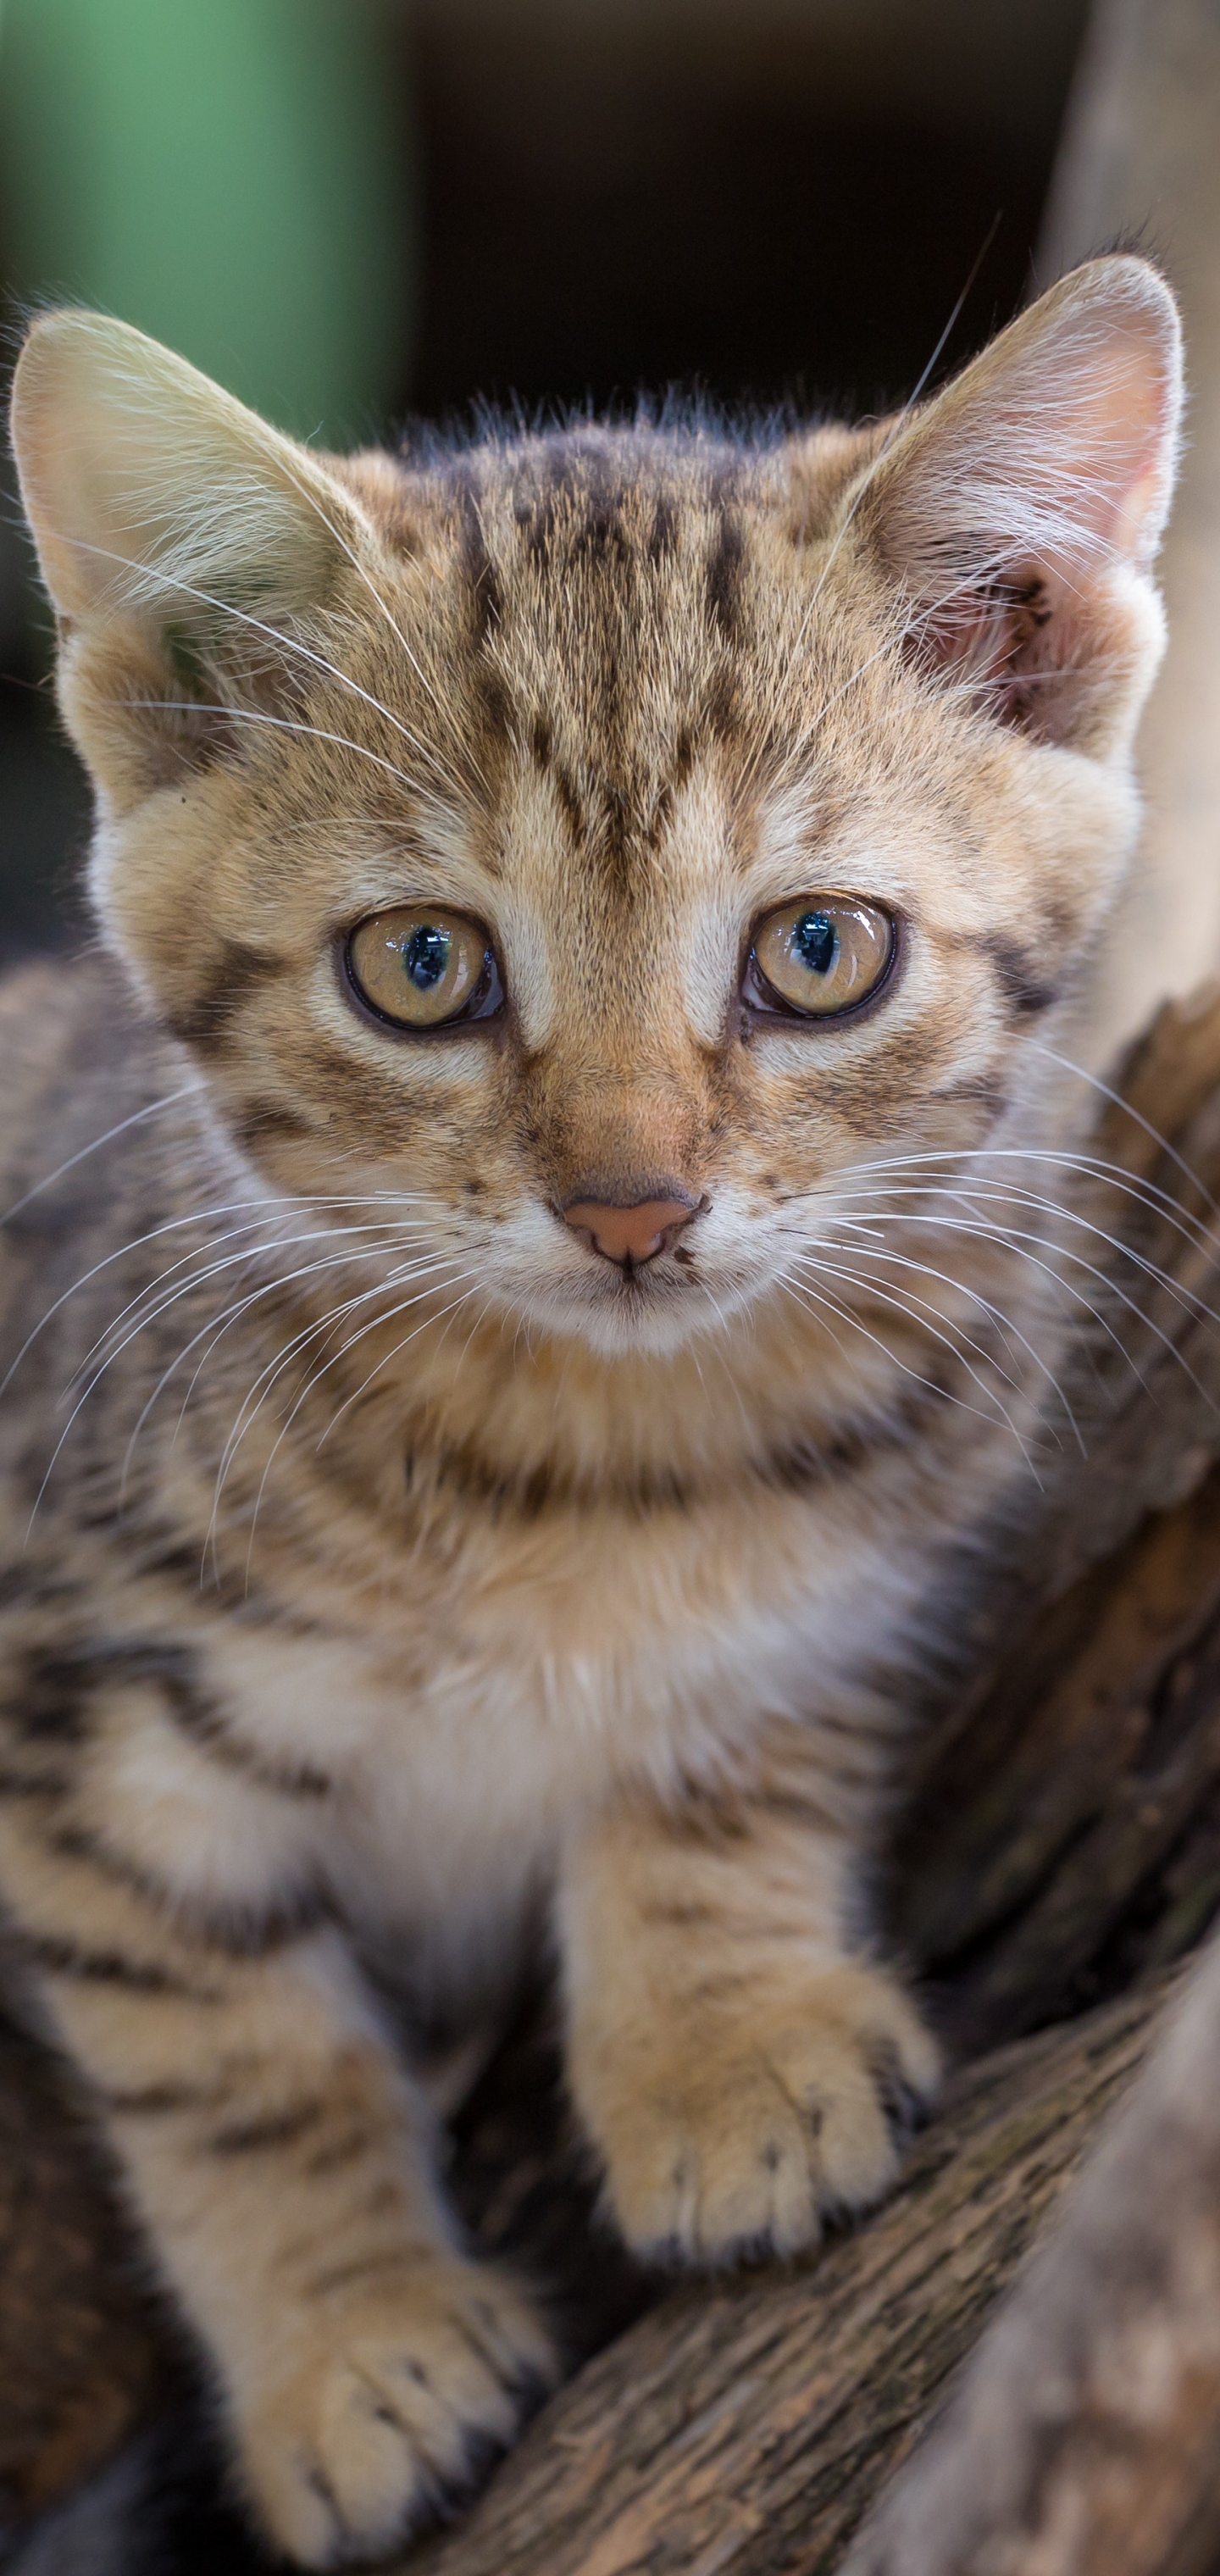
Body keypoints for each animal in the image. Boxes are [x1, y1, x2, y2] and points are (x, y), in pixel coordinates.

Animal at [0, 256, 1184, 2555]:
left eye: (815, 950)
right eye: (422, 969)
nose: (630, 1204)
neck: (578, 1458)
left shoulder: (872, 1551)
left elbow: (729, 1748)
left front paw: (722, 2048)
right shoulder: (70, 1709)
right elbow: (228, 2043)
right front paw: (353, 2339)